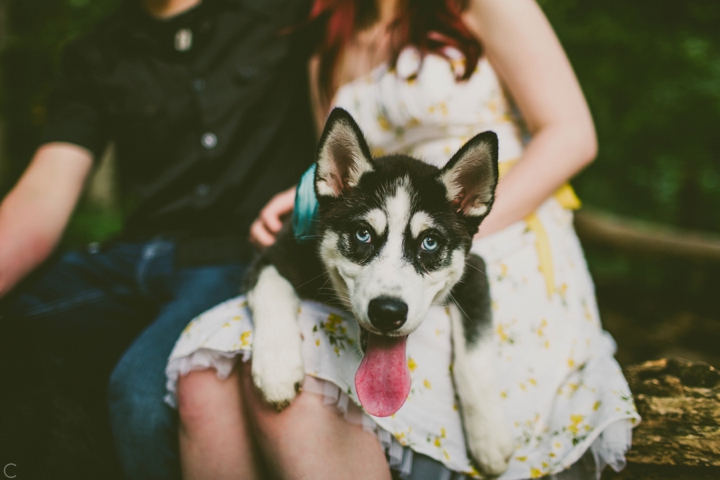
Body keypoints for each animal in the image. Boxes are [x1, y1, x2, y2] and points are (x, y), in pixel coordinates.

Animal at [246, 109, 512, 476]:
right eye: (363, 234)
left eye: (430, 242)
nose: (388, 312)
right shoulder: (273, 255)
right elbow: (272, 289)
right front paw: (277, 368)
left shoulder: (474, 271)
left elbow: (475, 352)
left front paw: (489, 436)